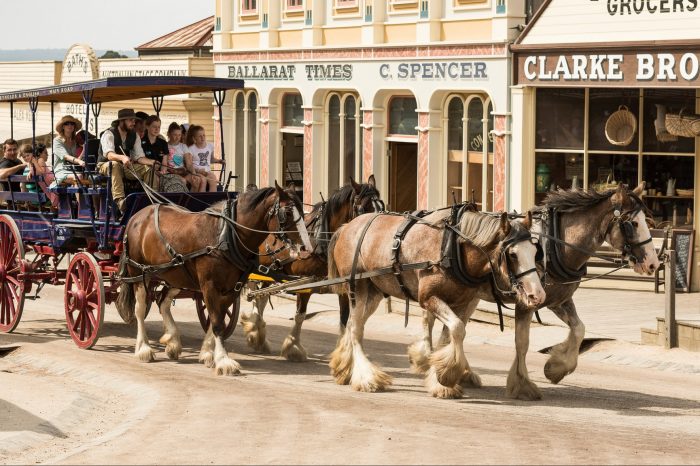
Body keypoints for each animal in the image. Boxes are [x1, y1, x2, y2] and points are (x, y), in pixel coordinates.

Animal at [117, 184, 312, 376]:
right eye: (287, 213)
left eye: (303, 213)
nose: (306, 248)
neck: (226, 235)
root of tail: (138, 216)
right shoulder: (209, 286)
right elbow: (217, 323)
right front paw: (224, 360)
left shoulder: (232, 287)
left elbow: (216, 318)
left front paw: (207, 353)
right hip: (139, 273)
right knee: (140, 309)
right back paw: (143, 348)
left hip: (175, 275)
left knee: (162, 301)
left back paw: (172, 341)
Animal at [241, 175, 382, 360]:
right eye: (363, 209)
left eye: (382, 206)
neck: (321, 238)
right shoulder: (304, 281)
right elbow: (300, 315)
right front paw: (293, 346)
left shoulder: (341, 284)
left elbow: (344, 319)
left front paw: (343, 354)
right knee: (255, 297)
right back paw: (254, 332)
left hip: (270, 271)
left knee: (261, 299)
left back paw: (258, 336)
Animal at [326, 209, 548, 398]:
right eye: (512, 254)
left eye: (535, 251)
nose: (537, 295)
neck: (453, 248)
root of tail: (346, 226)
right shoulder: (429, 298)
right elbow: (457, 329)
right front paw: (446, 377)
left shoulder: (462, 301)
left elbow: (449, 337)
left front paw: (440, 376)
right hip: (357, 287)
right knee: (355, 329)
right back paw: (367, 377)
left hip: (374, 292)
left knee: (353, 325)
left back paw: (344, 368)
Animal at [408, 182, 660, 400]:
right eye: (632, 224)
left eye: (646, 221)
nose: (653, 263)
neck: (555, 244)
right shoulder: (526, 302)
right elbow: (522, 342)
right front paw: (522, 384)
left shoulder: (559, 300)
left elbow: (579, 329)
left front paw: (557, 367)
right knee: (431, 322)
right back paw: (429, 361)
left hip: (469, 297)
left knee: (445, 328)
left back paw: (456, 371)